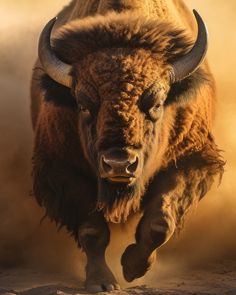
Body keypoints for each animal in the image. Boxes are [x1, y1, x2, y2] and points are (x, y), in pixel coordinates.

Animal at [30, 0, 224, 292]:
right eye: (83, 105)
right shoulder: (61, 169)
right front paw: (102, 282)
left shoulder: (191, 161)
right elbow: (92, 231)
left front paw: (132, 267)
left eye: (156, 103)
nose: (119, 164)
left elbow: (160, 223)